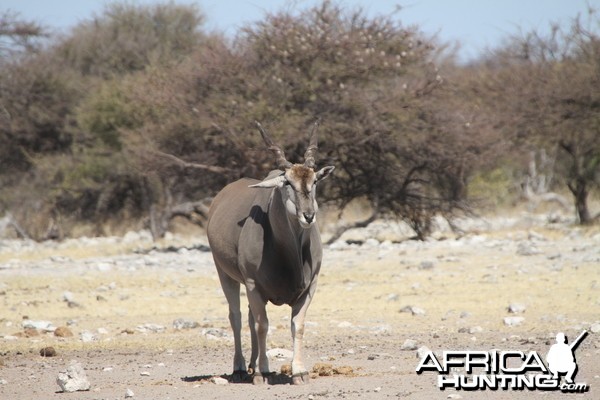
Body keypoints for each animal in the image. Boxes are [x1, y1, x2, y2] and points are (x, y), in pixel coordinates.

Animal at [207, 121, 336, 384]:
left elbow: (298, 324)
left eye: (314, 182)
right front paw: (262, 372)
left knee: (248, 317)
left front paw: (299, 372)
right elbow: (262, 325)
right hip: (225, 275)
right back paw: (242, 368)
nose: (308, 215)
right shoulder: (253, 285)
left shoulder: (310, 287)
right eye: (287, 183)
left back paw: (252, 364)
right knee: (236, 317)